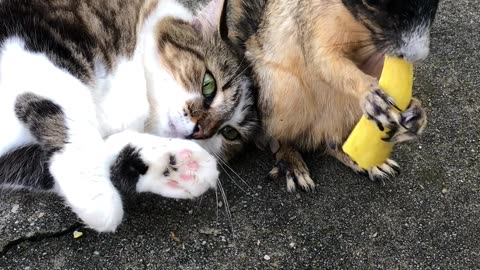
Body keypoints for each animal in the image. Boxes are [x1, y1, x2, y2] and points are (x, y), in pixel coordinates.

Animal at [0, 0, 258, 232]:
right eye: (208, 85)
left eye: (229, 132)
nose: (200, 130)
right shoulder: (31, 41)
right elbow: (73, 108)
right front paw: (97, 197)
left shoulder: (14, 160)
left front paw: (179, 165)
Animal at [221, 0, 438, 190]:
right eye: (370, 3)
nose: (416, 56)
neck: (359, 26)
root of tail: (320, 131)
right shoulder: (313, 22)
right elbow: (324, 59)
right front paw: (370, 93)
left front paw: (416, 112)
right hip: (280, 93)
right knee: (275, 138)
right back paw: (290, 161)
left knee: (333, 143)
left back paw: (359, 157)